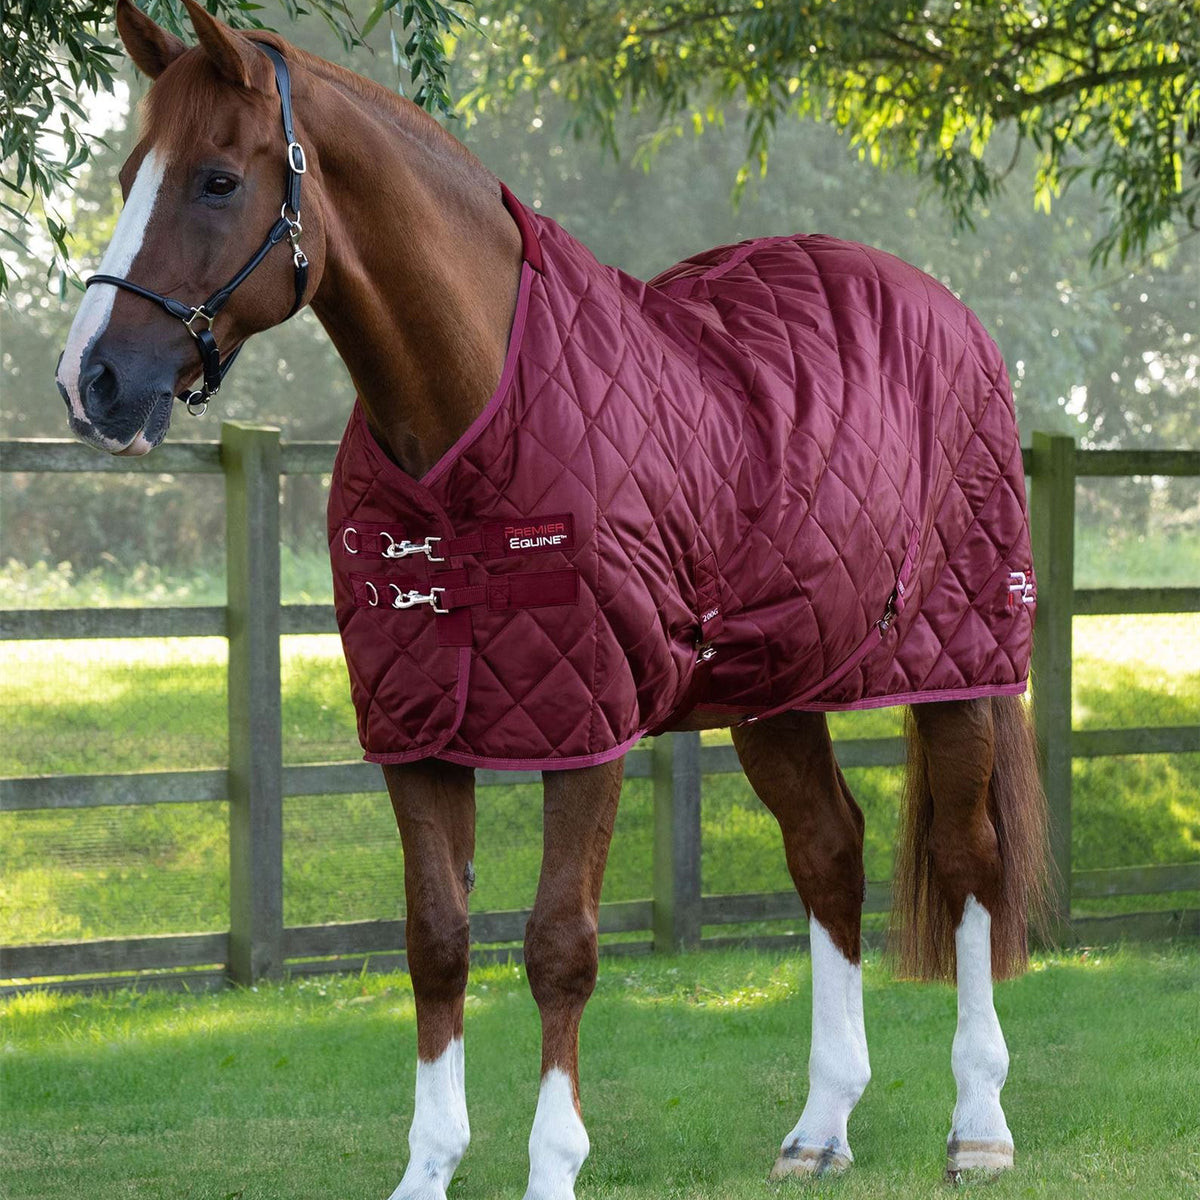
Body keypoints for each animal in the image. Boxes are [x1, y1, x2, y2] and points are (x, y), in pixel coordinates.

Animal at [57, 3, 1048, 1195]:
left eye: (214, 180)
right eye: (125, 176)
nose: (91, 382)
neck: (474, 409)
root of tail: (947, 309)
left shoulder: (587, 723)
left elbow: (558, 945)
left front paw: (552, 1167)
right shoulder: (418, 728)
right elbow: (436, 940)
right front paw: (427, 1169)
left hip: (959, 661)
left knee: (969, 860)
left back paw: (980, 1123)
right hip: (775, 687)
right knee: (829, 851)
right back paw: (821, 1126)